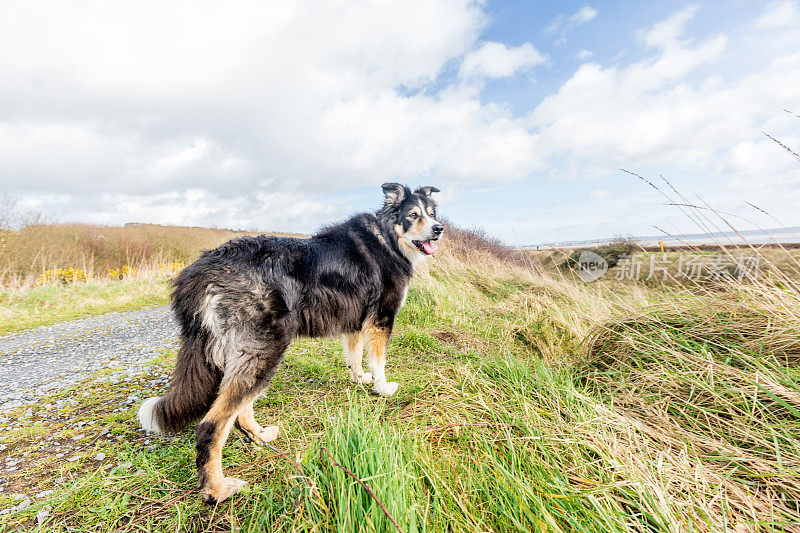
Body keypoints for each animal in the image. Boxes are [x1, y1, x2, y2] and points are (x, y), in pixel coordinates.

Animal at [134, 183, 440, 502]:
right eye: (413, 215)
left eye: (432, 213)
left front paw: (360, 379)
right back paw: (217, 490)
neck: (388, 238)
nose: (439, 229)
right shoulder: (382, 317)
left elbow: (355, 355)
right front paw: (382, 387)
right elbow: (378, 361)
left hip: (251, 353)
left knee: (240, 410)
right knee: (210, 426)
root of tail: (202, 269)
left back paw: (260, 437)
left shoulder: (356, 319)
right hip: (265, 349)